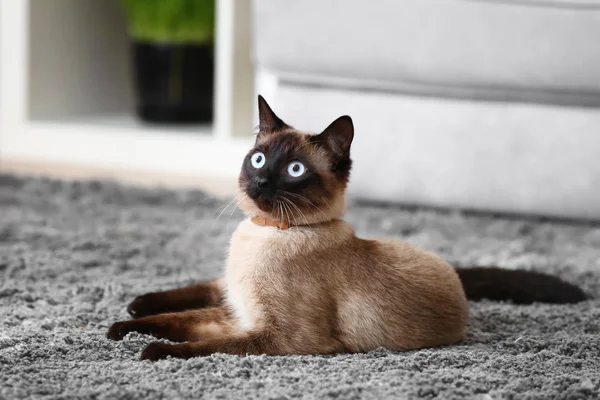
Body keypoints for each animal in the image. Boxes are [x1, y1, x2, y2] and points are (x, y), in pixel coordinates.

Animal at [106, 95, 584, 360]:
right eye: (258, 159)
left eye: (294, 170)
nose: (260, 183)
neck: (267, 232)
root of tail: (453, 271)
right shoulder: (236, 309)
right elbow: (177, 318)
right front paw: (122, 328)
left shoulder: (275, 335)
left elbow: (201, 346)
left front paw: (152, 352)